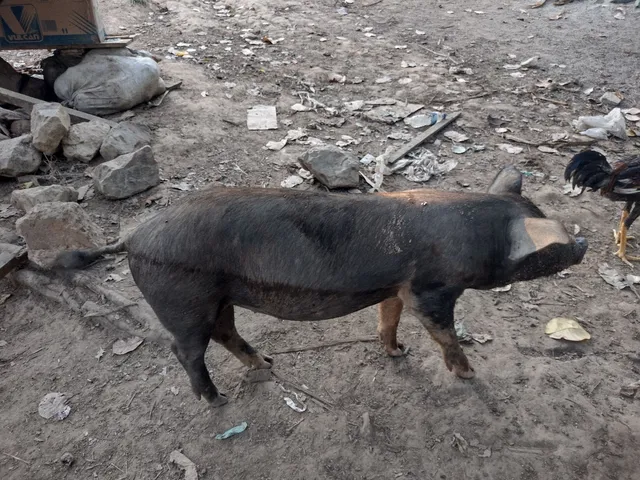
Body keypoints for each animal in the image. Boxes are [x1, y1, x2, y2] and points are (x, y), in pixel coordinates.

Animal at [53, 166, 588, 407]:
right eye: (552, 246)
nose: (583, 242)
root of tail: (132, 236)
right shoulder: (431, 289)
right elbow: (443, 332)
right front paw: (469, 375)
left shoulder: (396, 287)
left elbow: (388, 318)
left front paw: (397, 354)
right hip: (184, 300)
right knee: (185, 351)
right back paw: (217, 400)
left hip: (218, 298)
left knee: (226, 334)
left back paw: (266, 364)